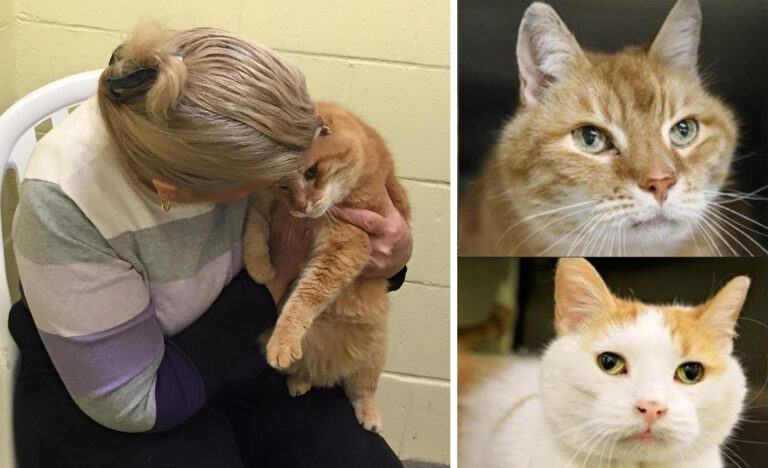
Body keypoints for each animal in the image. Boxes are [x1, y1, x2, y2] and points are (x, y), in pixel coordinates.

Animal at [246, 101, 414, 432]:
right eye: (283, 185)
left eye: (312, 171)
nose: (300, 207)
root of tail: (328, 371)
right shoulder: (262, 201)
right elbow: (254, 229)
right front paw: (260, 267)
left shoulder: (346, 246)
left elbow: (304, 299)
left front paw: (283, 340)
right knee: (307, 372)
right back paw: (300, 381)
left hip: (372, 358)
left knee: (363, 392)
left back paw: (369, 415)